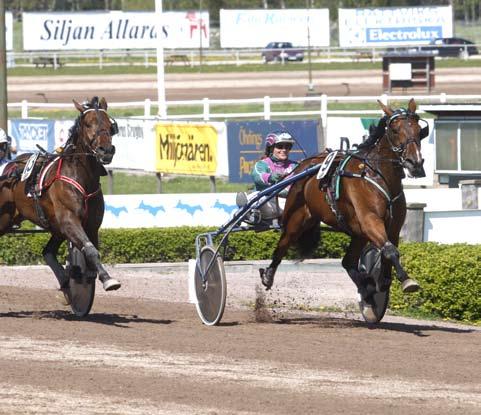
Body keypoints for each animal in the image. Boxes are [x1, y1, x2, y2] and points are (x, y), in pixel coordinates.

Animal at [0, 94, 119, 296]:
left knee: (47, 252)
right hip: (5, 218)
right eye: (88, 124)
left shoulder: (90, 224)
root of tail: (11, 166)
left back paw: (64, 280)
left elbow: (92, 251)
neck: (82, 177)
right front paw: (108, 279)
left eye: (110, 124)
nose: (106, 150)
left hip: (54, 227)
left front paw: (86, 277)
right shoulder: (69, 219)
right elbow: (90, 250)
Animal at [260, 99, 426, 324]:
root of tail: (304, 166)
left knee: (348, 262)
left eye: (419, 130)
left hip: (357, 233)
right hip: (296, 219)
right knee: (281, 246)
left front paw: (379, 282)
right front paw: (406, 281)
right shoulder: (370, 220)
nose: (414, 162)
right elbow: (390, 250)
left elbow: (388, 252)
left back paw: (366, 289)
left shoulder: (392, 227)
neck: (377, 175)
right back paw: (268, 275)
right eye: (395, 129)